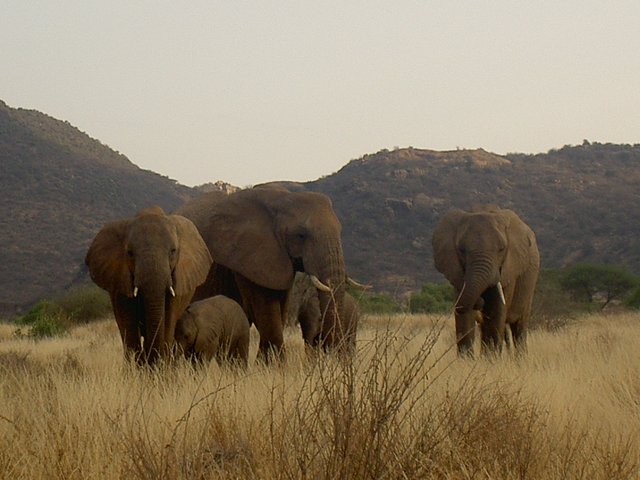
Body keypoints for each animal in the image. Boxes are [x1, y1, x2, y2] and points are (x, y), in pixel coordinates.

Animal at [85, 205, 212, 364]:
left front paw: (160, 367)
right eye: (130, 253)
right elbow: (129, 327)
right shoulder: (121, 282)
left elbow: (168, 323)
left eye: (173, 251)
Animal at [430, 204, 540, 354]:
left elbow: (496, 311)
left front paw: (491, 358)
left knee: (519, 327)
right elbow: (464, 315)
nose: (481, 301)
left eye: (501, 249)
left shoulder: (509, 269)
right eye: (461, 249)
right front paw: (468, 359)